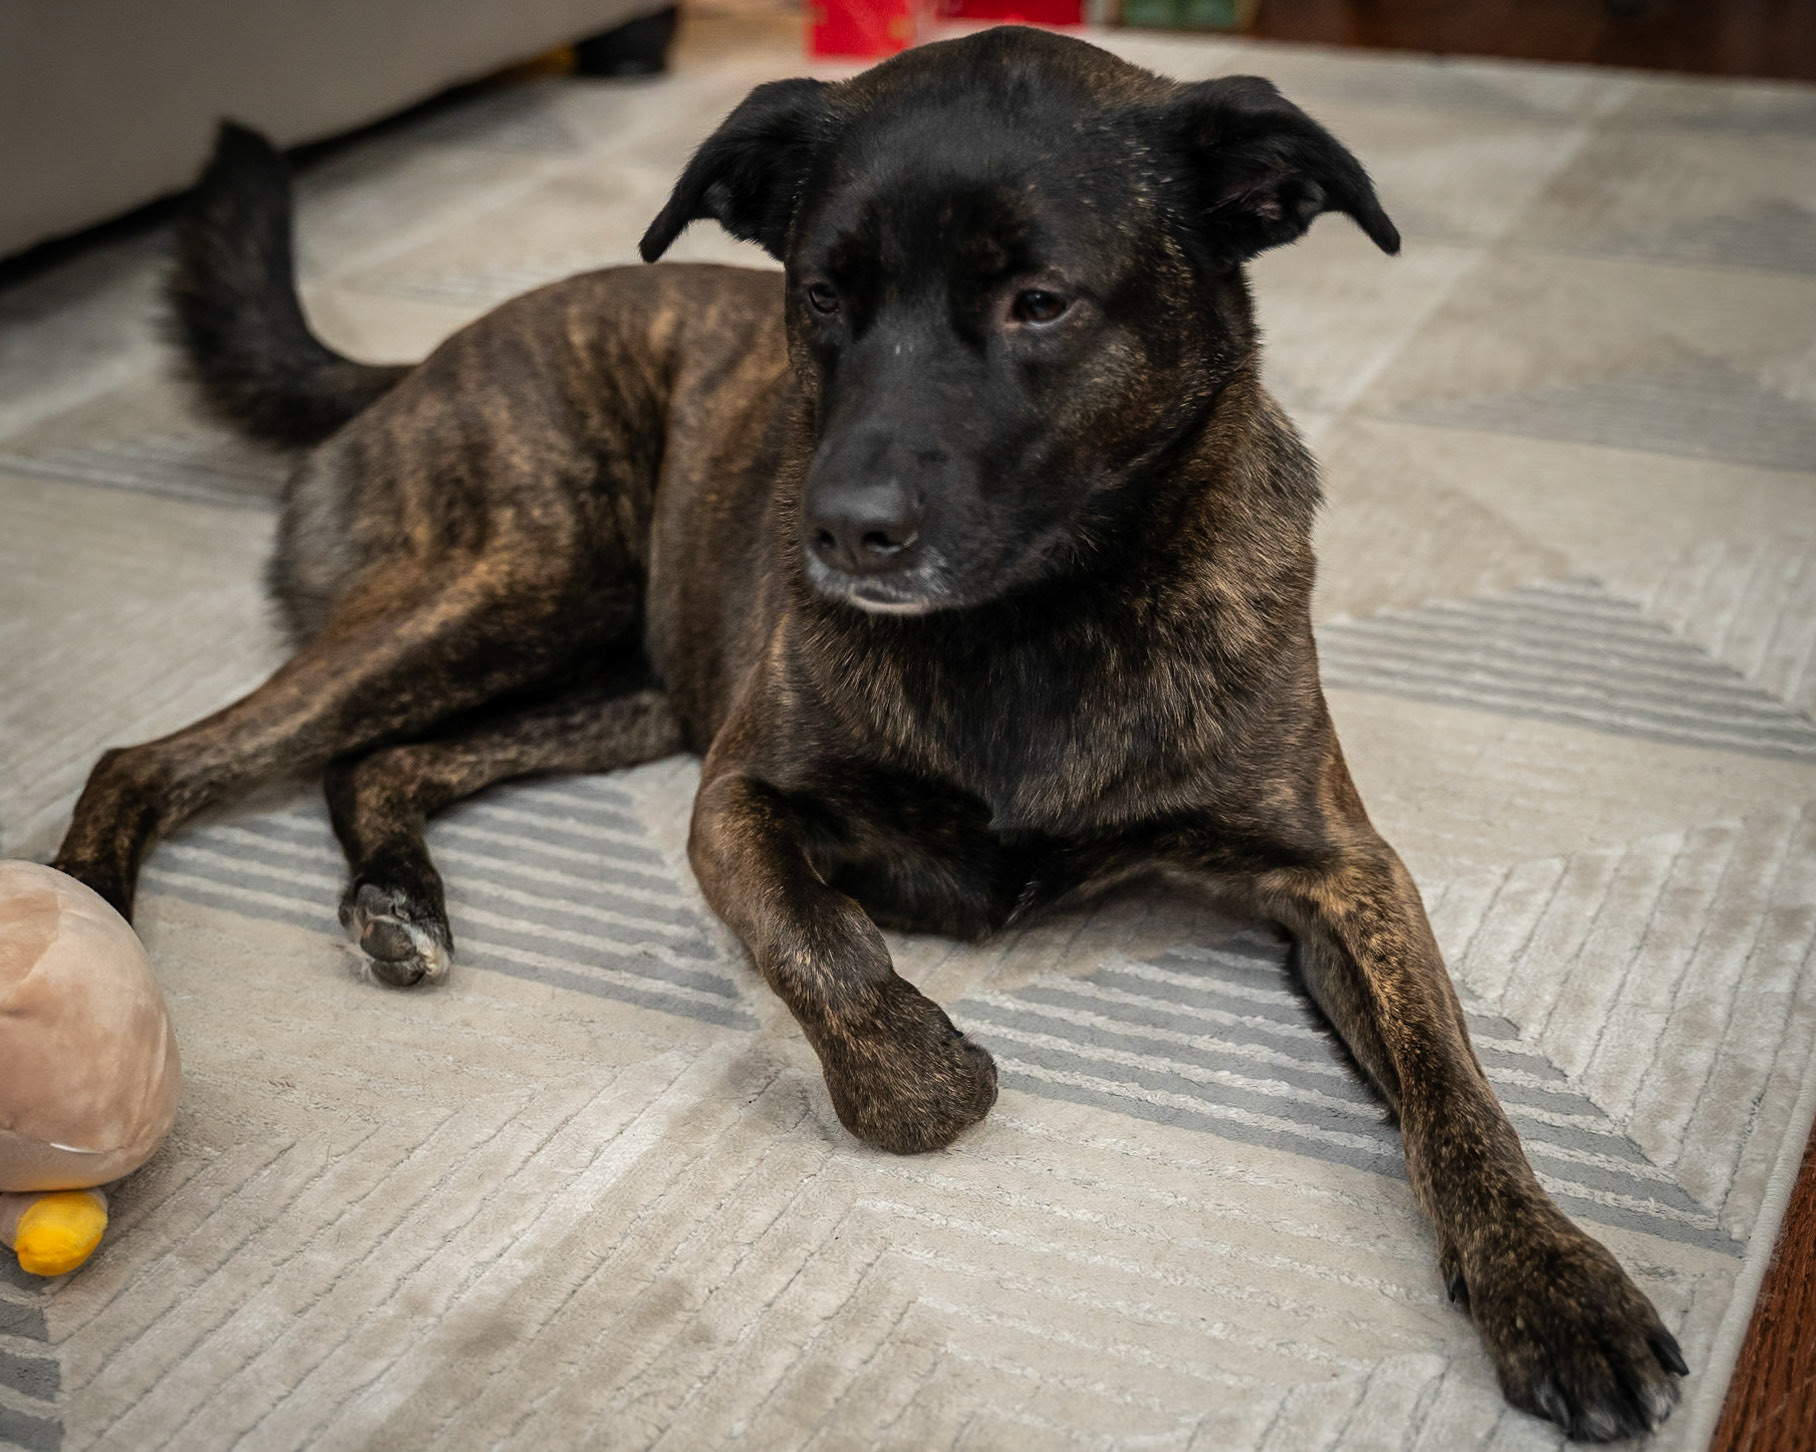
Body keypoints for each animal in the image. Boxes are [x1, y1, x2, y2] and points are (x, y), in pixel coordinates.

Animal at [54, 27, 1686, 1440]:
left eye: (1040, 302)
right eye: (824, 292)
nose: (838, 533)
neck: (1033, 618)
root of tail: (421, 357)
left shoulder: (1342, 870)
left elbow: (1457, 1086)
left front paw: (1556, 1279)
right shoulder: (740, 800)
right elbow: (836, 963)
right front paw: (930, 1066)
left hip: (613, 674)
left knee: (381, 758)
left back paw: (397, 898)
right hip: (516, 580)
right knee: (150, 758)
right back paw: (93, 919)